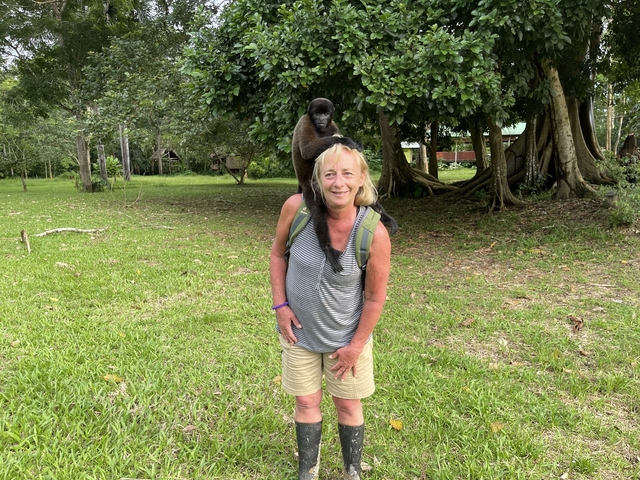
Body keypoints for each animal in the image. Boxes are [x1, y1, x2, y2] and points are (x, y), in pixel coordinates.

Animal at [291, 97, 397, 273]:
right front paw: (345, 140)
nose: (321, 119)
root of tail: (303, 184)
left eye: (325, 113)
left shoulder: (332, 125)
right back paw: (328, 249)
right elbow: (307, 150)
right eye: (316, 113)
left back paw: (383, 215)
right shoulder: (305, 121)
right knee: (317, 210)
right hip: (311, 188)